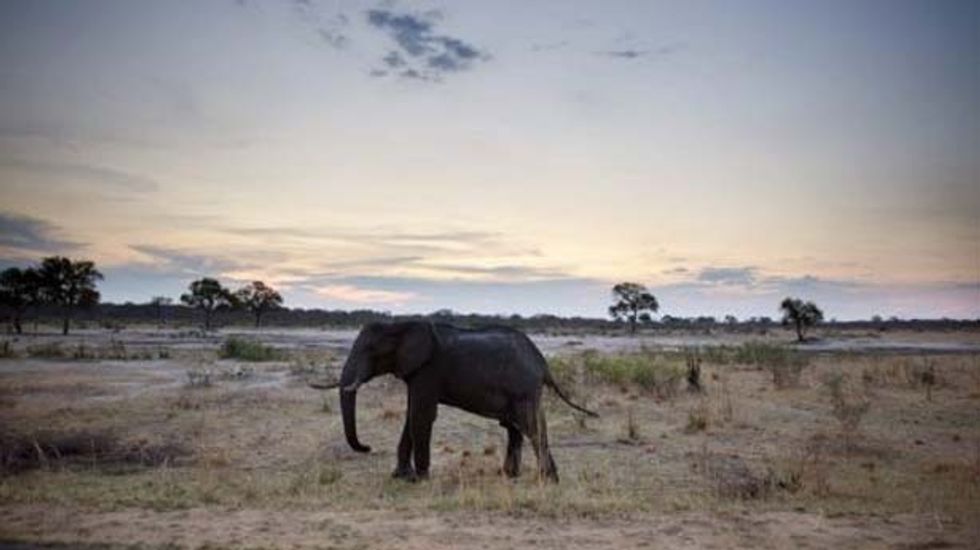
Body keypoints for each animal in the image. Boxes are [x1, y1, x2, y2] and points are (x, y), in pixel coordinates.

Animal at [320, 321, 597, 482]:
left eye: (370, 350)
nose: (367, 447)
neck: (402, 323)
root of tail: (543, 363)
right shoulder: (416, 372)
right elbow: (412, 415)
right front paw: (400, 477)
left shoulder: (429, 370)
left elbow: (421, 415)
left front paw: (420, 479)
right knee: (515, 428)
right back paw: (510, 476)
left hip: (524, 389)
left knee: (531, 426)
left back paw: (548, 480)